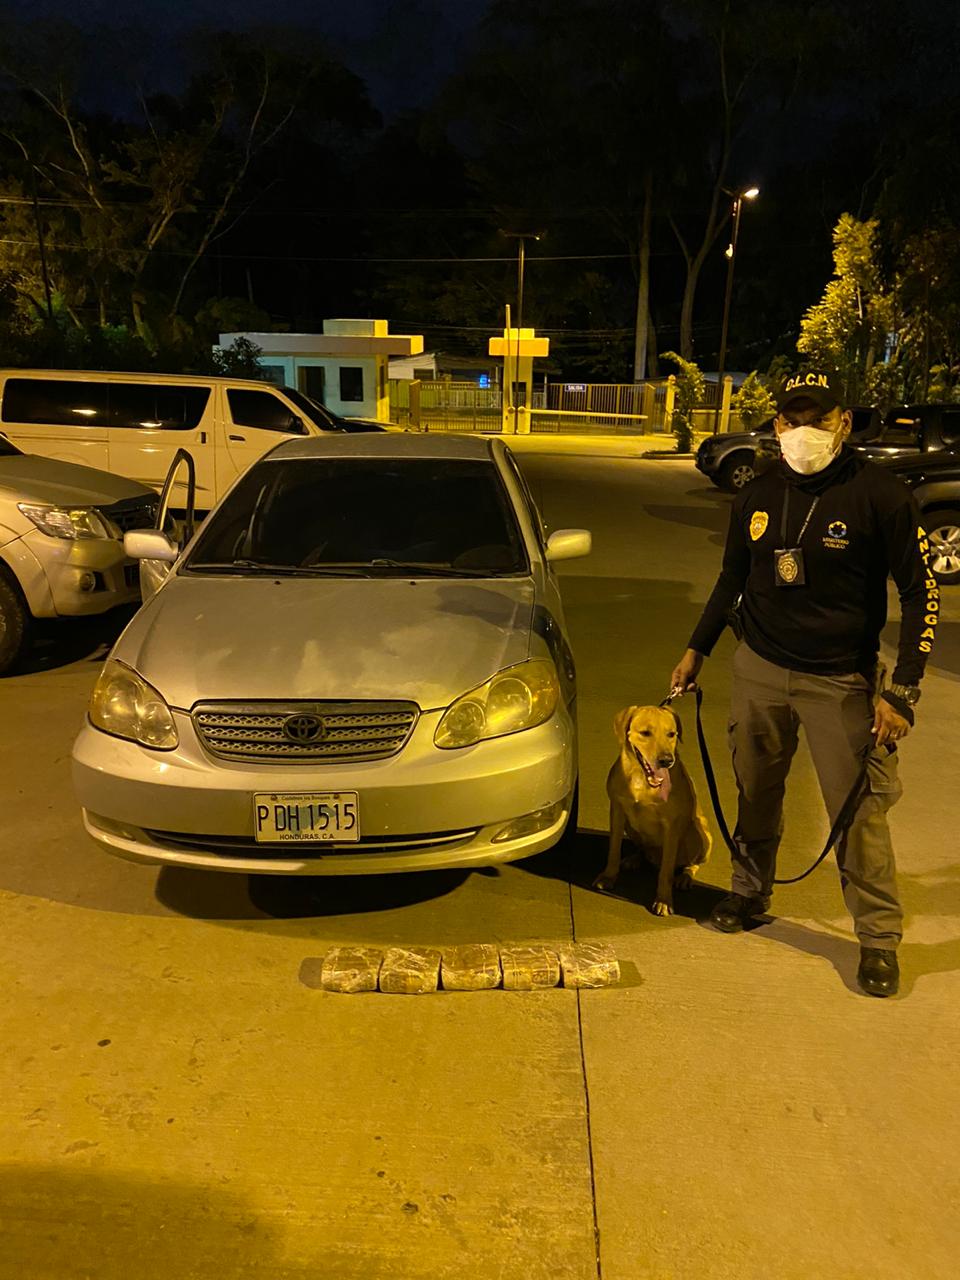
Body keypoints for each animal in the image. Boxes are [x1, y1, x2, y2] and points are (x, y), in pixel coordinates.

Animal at [594, 704, 711, 915]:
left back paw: (685, 876)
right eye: (645, 733)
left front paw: (664, 900)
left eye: (671, 734)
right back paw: (635, 858)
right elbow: (613, 849)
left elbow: (666, 871)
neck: (642, 778)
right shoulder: (617, 811)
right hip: (631, 827)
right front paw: (608, 876)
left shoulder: (671, 826)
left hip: (700, 833)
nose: (666, 760)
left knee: (692, 863)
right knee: (643, 848)